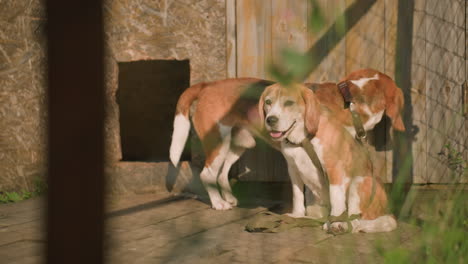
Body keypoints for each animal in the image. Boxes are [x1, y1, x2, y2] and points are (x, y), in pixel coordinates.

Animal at [262, 82, 396, 233]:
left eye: (289, 102)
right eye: (268, 102)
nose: (270, 120)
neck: (302, 138)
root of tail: (386, 211)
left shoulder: (334, 169)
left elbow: (335, 198)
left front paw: (336, 222)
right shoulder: (293, 169)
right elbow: (297, 195)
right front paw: (297, 215)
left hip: (359, 182)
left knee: (355, 222)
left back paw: (341, 225)